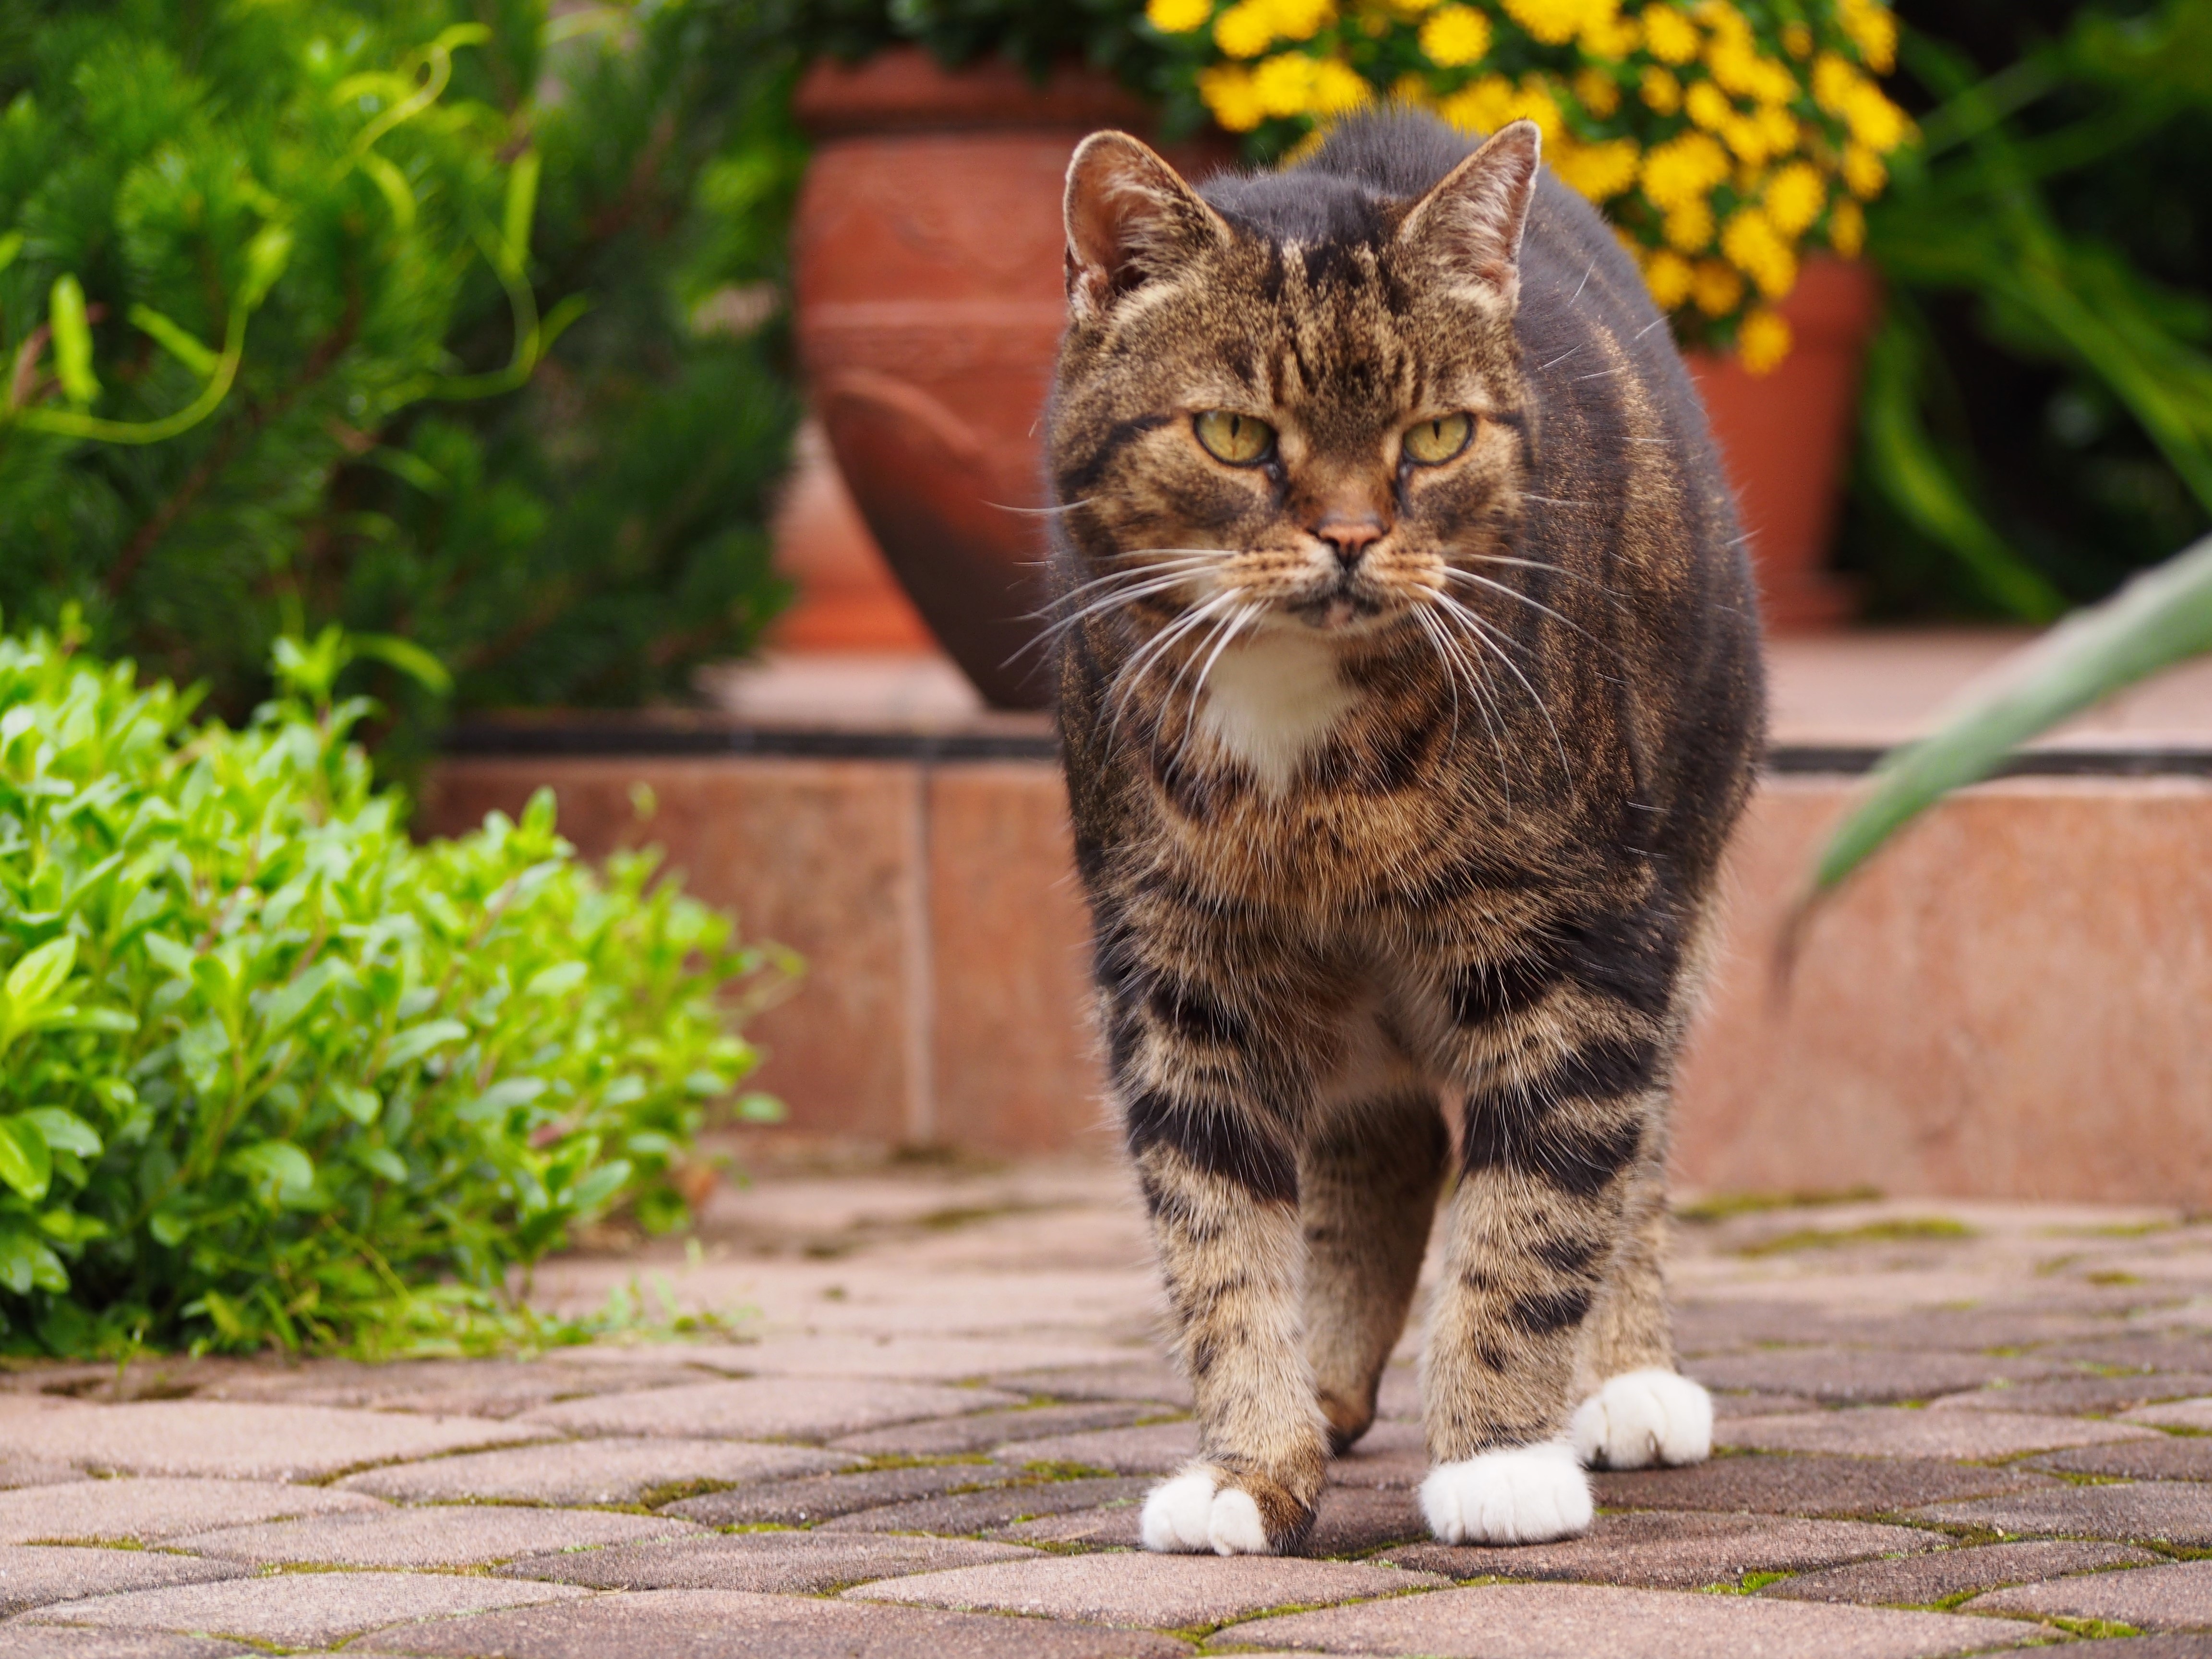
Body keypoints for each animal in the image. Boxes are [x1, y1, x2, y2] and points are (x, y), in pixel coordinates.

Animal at [1048, 117, 1760, 1557]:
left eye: (1433, 436)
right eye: (1234, 434)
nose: (1351, 538)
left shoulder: (1583, 942)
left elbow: (1541, 1205)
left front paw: (1497, 1457)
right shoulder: (1180, 965)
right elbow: (1214, 1229)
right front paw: (1251, 1463)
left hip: (1681, 882)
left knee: (1634, 1148)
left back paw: (1626, 1382)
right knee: (1386, 1146)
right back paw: (1328, 1390)